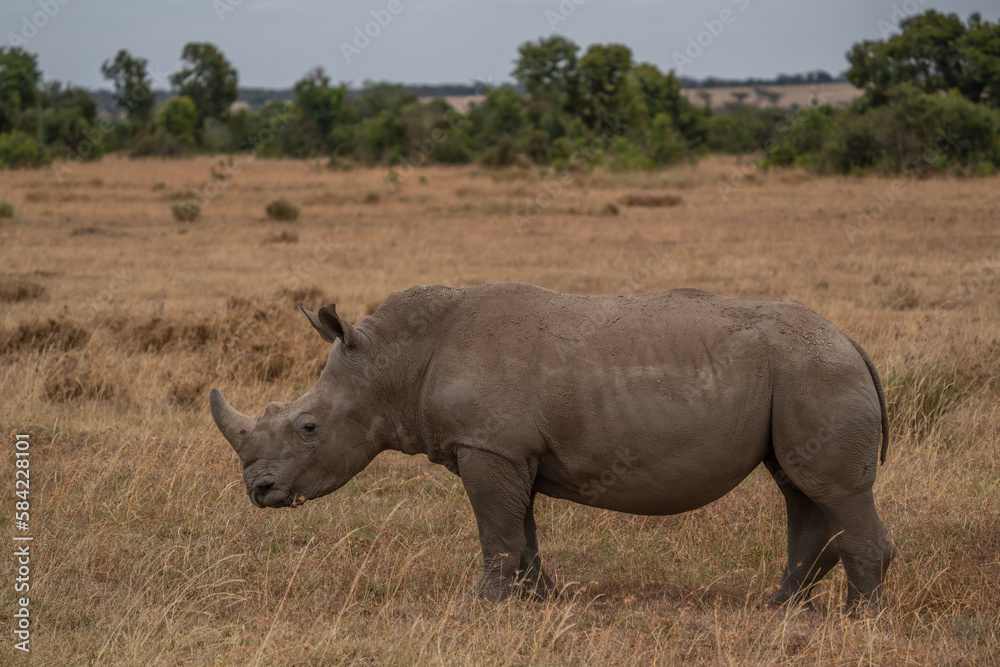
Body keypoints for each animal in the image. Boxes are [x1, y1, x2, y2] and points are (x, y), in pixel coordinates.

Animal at [209, 283, 895, 611]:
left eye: (308, 428)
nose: (258, 491)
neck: (393, 363)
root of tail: (853, 341)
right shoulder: (510, 453)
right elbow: (521, 530)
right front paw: (538, 600)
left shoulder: (488, 448)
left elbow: (496, 530)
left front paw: (481, 606)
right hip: (802, 375)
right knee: (799, 487)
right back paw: (780, 607)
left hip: (817, 372)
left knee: (832, 488)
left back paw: (855, 621)